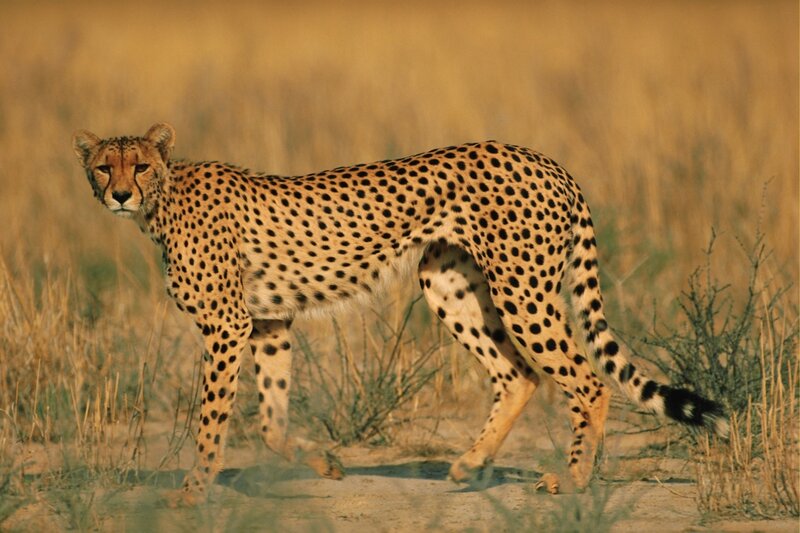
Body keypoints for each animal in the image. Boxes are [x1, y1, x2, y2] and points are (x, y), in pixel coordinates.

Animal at [72, 123, 728, 503]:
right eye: (105, 165)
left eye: (140, 165)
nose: (120, 193)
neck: (164, 198)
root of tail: (543, 158)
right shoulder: (268, 322)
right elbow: (270, 420)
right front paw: (325, 463)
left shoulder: (226, 325)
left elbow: (213, 418)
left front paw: (192, 490)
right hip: (449, 284)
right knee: (518, 374)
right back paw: (469, 464)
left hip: (522, 289)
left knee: (587, 381)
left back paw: (572, 479)